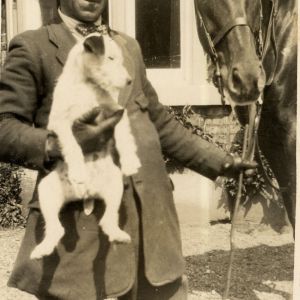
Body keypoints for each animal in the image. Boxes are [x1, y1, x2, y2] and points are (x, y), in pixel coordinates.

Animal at [30, 32, 141, 260]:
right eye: (110, 58)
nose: (129, 81)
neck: (86, 86)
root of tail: (86, 193)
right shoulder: (62, 123)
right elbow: (73, 145)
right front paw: (78, 171)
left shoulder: (116, 112)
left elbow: (124, 136)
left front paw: (130, 162)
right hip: (47, 190)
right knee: (56, 229)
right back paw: (42, 249)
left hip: (114, 184)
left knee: (107, 220)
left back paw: (118, 235)